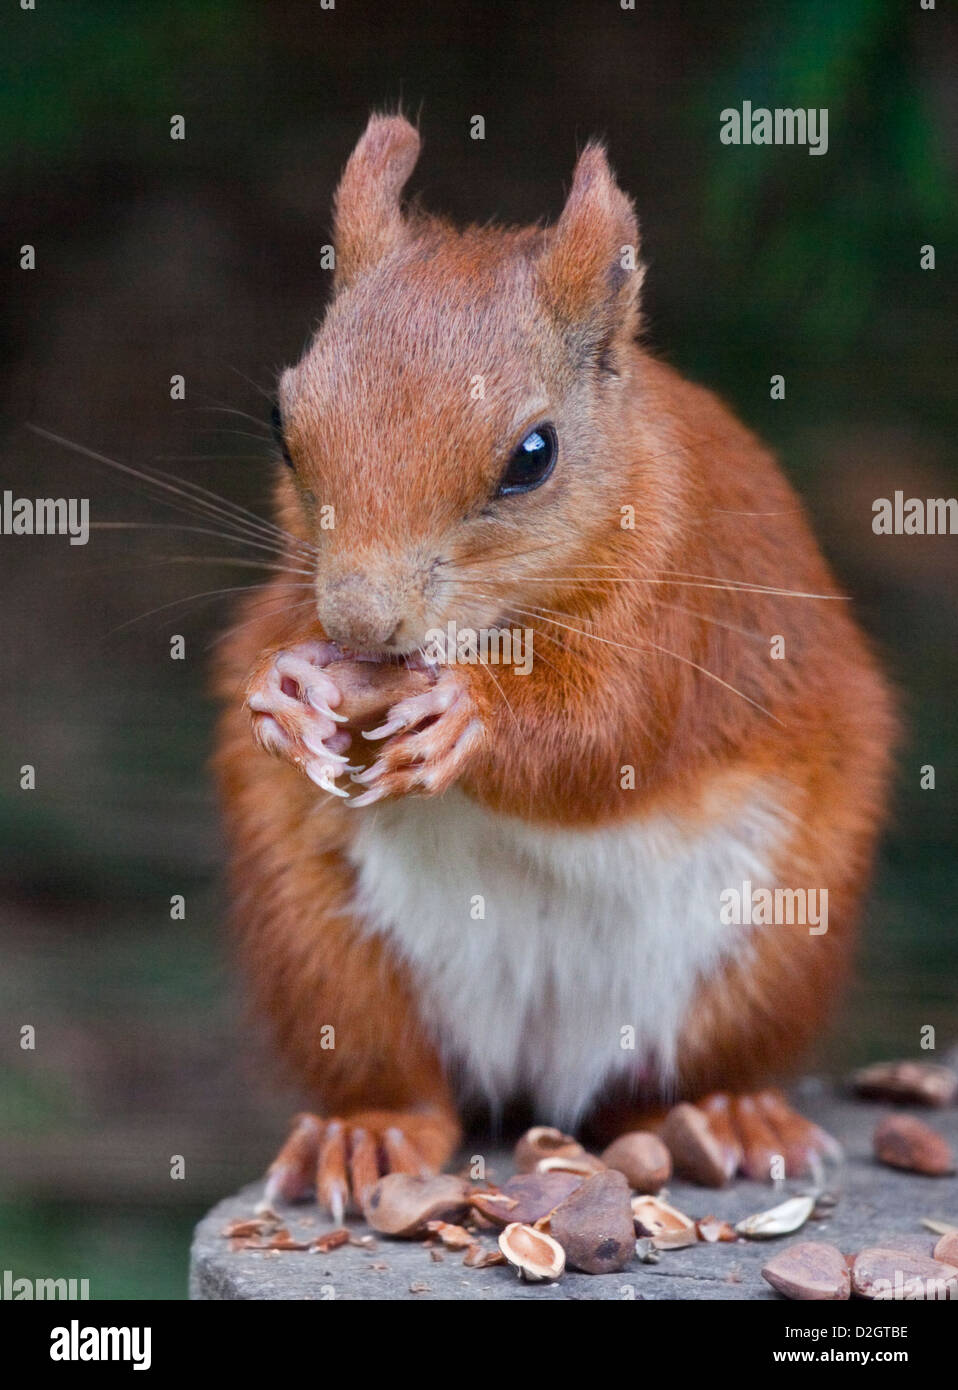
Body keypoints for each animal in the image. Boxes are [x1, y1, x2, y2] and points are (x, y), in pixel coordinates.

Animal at [212, 111, 895, 1217]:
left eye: (532, 455)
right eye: (283, 422)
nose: (362, 623)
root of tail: (542, 1059)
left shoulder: (681, 612)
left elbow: (607, 734)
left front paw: (469, 717)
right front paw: (283, 696)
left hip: (771, 942)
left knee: (666, 1080)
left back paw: (723, 1115)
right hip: (321, 946)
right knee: (405, 1082)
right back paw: (365, 1132)